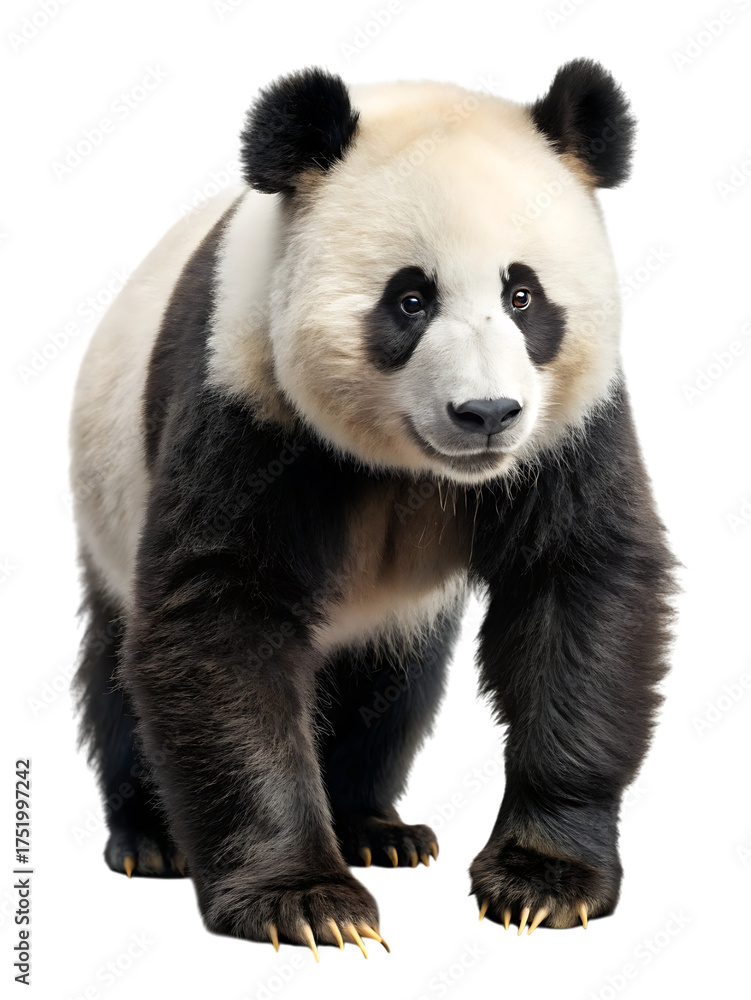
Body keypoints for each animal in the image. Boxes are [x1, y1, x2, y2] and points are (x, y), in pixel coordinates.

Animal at [70, 59, 675, 954]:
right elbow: (219, 619)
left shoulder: (568, 429)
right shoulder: (244, 396)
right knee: (121, 665)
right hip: (108, 499)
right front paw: (302, 900)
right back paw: (152, 837)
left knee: (389, 686)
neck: (408, 467)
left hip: (399, 613)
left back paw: (374, 827)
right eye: (410, 299)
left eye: (522, 296)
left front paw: (542, 881)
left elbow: (577, 589)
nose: (486, 414)